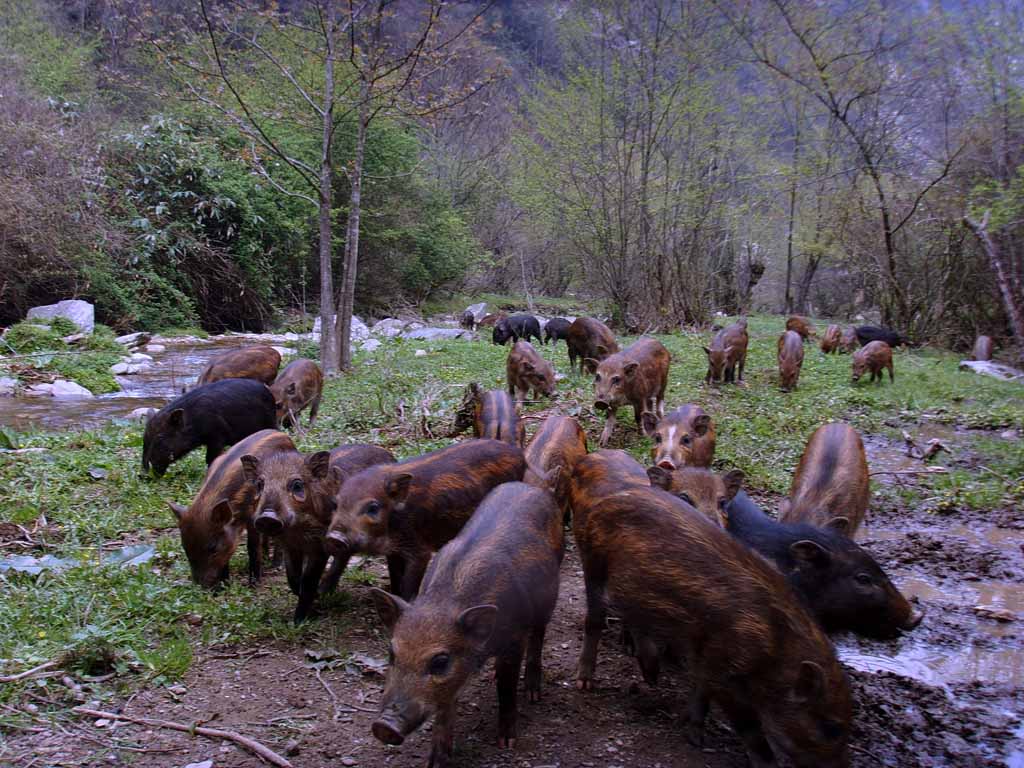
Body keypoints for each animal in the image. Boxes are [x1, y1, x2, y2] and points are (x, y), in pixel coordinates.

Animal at [167, 428, 294, 589]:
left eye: (213, 547)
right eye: (184, 546)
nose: (201, 586)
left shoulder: (252, 515)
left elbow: (252, 547)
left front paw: (254, 583)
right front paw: (225, 585)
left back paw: (276, 564)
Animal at [241, 442, 393, 622]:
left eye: (297, 485)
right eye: (260, 484)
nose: (267, 516)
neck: (297, 531)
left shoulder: (320, 545)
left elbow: (308, 580)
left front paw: (299, 621)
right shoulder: (290, 547)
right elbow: (293, 578)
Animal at [323, 438, 524, 602]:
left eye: (373, 507)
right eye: (335, 504)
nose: (335, 537)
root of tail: (517, 453)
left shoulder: (419, 550)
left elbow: (409, 585)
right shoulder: (394, 550)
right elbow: (395, 577)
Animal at [368, 483, 561, 765]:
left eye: (440, 661)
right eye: (391, 654)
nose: (384, 726)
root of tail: (533, 486)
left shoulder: (513, 640)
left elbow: (506, 688)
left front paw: (507, 743)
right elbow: (445, 708)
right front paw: (435, 762)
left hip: (548, 598)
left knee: (538, 636)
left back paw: (533, 693)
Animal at [577, 483, 847, 765]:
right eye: (831, 727)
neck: (776, 645)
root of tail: (604, 500)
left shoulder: (705, 652)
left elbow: (701, 689)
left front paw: (694, 734)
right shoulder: (725, 667)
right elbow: (748, 725)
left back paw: (652, 677)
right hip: (593, 563)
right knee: (595, 619)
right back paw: (585, 682)